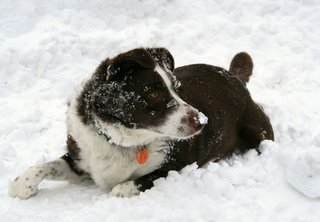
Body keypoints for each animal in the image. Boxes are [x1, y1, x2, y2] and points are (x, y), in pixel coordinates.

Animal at [9, 47, 276, 199]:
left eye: (177, 88)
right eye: (155, 93)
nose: (202, 122)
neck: (122, 141)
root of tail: (234, 78)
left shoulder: (178, 165)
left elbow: (134, 183)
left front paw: (121, 190)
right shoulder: (82, 160)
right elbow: (44, 165)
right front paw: (20, 185)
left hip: (260, 134)